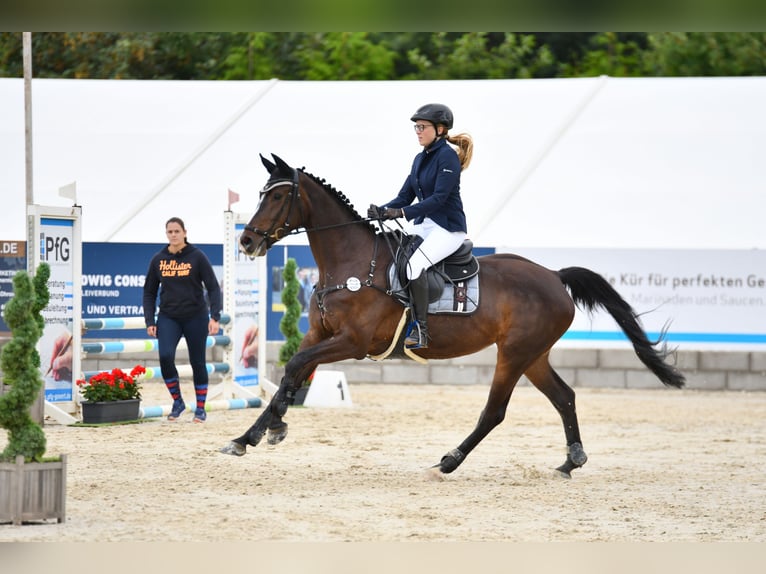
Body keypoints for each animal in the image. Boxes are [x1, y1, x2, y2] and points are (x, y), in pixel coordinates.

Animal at [220, 153, 685, 478]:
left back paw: (449, 461)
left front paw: (267, 430)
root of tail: (554, 276)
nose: (246, 241)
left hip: (514, 354)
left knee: (494, 412)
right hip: (533, 355)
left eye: (278, 195)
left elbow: (297, 365)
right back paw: (570, 461)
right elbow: (293, 370)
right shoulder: (320, 335)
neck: (350, 261)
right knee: (564, 397)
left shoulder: (352, 342)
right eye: (261, 194)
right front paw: (254, 434)